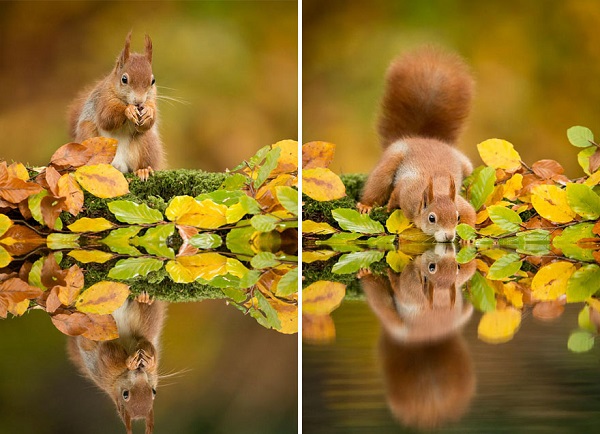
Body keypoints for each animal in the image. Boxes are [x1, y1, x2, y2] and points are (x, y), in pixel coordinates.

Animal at [67, 294, 166, 434]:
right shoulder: (107, 371)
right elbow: (108, 351)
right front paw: (129, 363)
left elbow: (147, 345)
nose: (140, 372)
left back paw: (144, 299)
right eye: (125, 394)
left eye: (154, 392)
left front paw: (149, 361)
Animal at [68, 31, 164, 179]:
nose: (139, 102)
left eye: (153, 81)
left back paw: (143, 170)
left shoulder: (152, 100)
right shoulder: (103, 99)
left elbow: (147, 123)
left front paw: (148, 112)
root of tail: (118, 166)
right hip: (87, 133)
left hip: (147, 144)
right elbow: (106, 118)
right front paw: (128, 110)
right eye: (124, 79)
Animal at [356, 48, 478, 244]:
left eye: (457, 217)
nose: (449, 236)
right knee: (378, 184)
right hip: (390, 161)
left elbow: (471, 213)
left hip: (466, 165)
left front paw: (467, 238)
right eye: (432, 218)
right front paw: (388, 209)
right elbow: (394, 196)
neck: (437, 188)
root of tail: (422, 137)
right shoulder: (406, 192)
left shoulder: (459, 203)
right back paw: (366, 205)